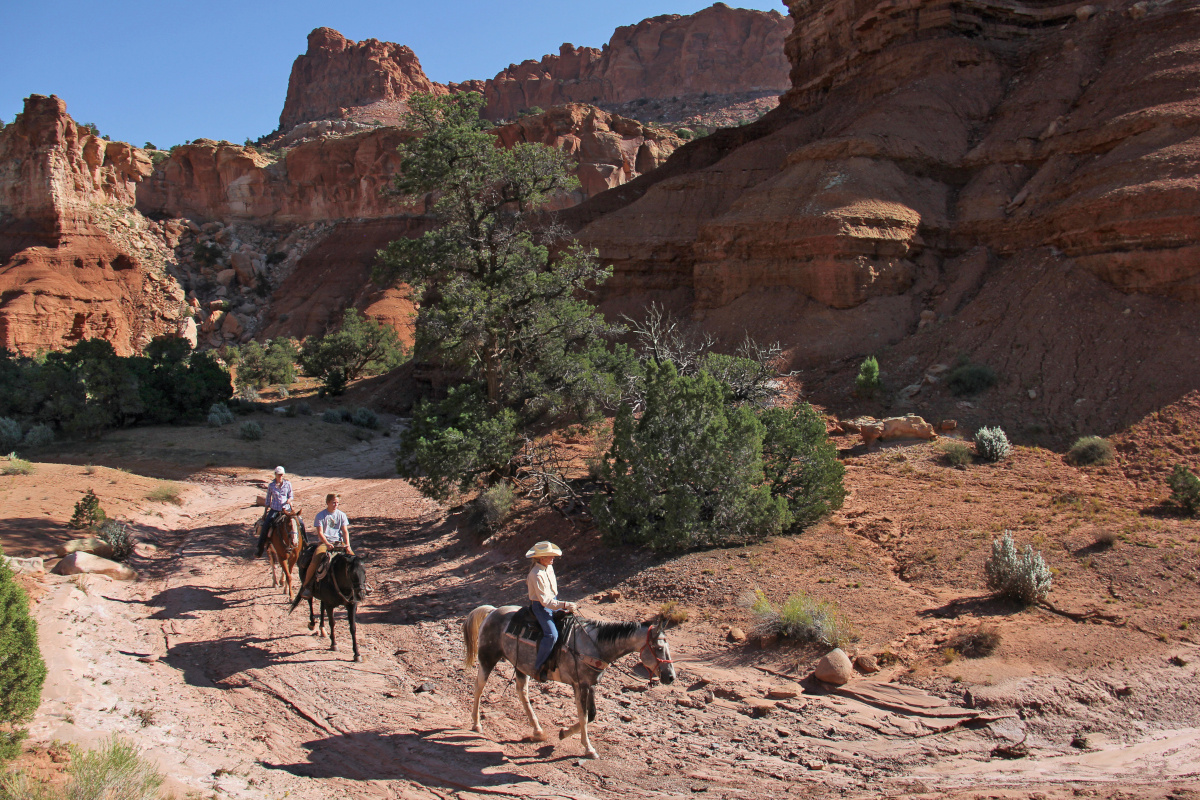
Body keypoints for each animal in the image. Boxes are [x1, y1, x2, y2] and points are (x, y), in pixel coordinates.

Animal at [463, 606, 681, 758]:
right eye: (658, 648)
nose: (670, 677)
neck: (595, 645)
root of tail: (492, 611)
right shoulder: (579, 685)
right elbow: (583, 716)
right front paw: (589, 748)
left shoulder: (589, 685)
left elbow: (591, 716)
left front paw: (564, 733)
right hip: (488, 658)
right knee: (479, 687)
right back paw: (476, 724)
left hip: (521, 666)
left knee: (521, 693)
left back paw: (538, 731)